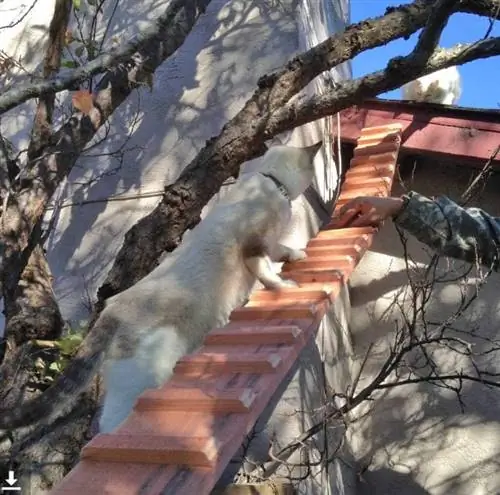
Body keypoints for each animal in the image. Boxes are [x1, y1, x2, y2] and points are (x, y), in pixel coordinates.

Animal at [0, 140, 322, 434]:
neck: (272, 182)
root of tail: (111, 310)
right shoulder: (254, 246)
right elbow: (268, 271)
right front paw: (284, 285)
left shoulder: (270, 244)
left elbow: (281, 250)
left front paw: (296, 256)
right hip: (149, 370)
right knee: (110, 428)